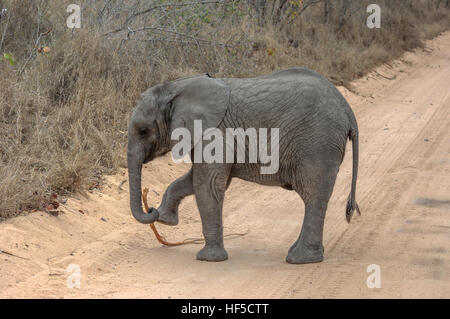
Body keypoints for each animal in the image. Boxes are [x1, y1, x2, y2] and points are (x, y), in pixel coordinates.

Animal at [128, 67, 360, 264]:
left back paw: (300, 259)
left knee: (313, 195)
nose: (151, 208)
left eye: (143, 131)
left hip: (318, 143)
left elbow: (207, 185)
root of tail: (347, 109)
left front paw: (208, 259)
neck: (175, 88)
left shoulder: (215, 132)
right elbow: (192, 180)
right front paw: (165, 219)